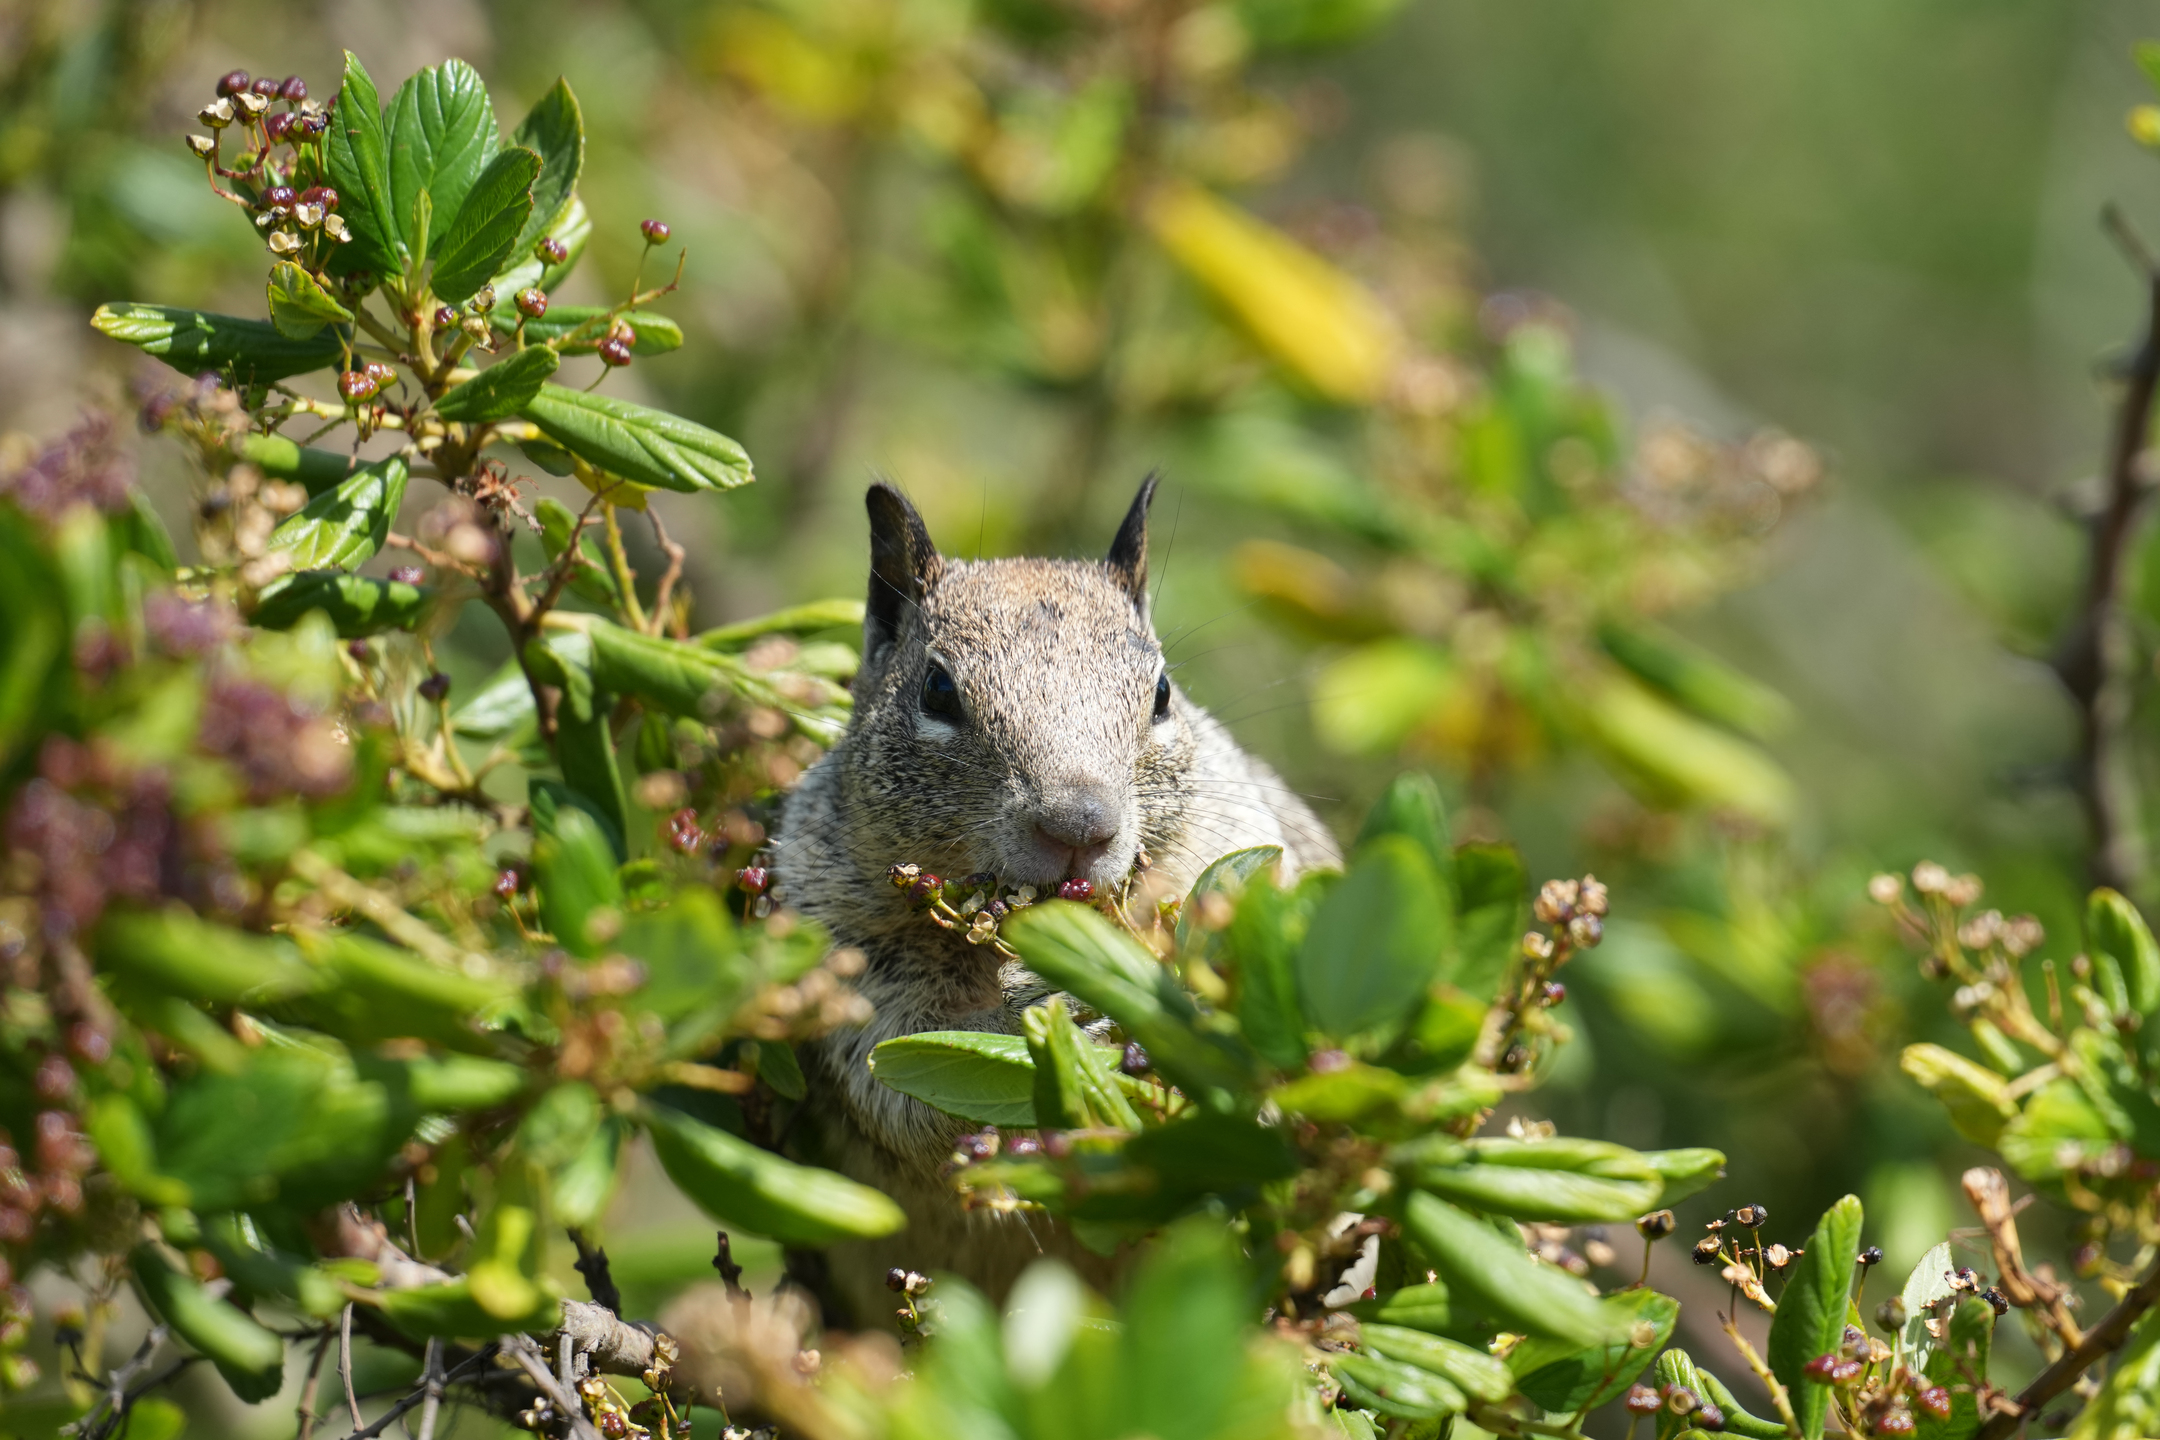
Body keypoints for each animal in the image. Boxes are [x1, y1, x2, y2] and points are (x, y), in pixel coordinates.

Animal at [773, 477, 1340, 1325]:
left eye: (1162, 693)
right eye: (937, 690)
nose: (1079, 825)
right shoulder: (839, 946)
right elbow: (898, 1069)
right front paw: (1044, 1013)